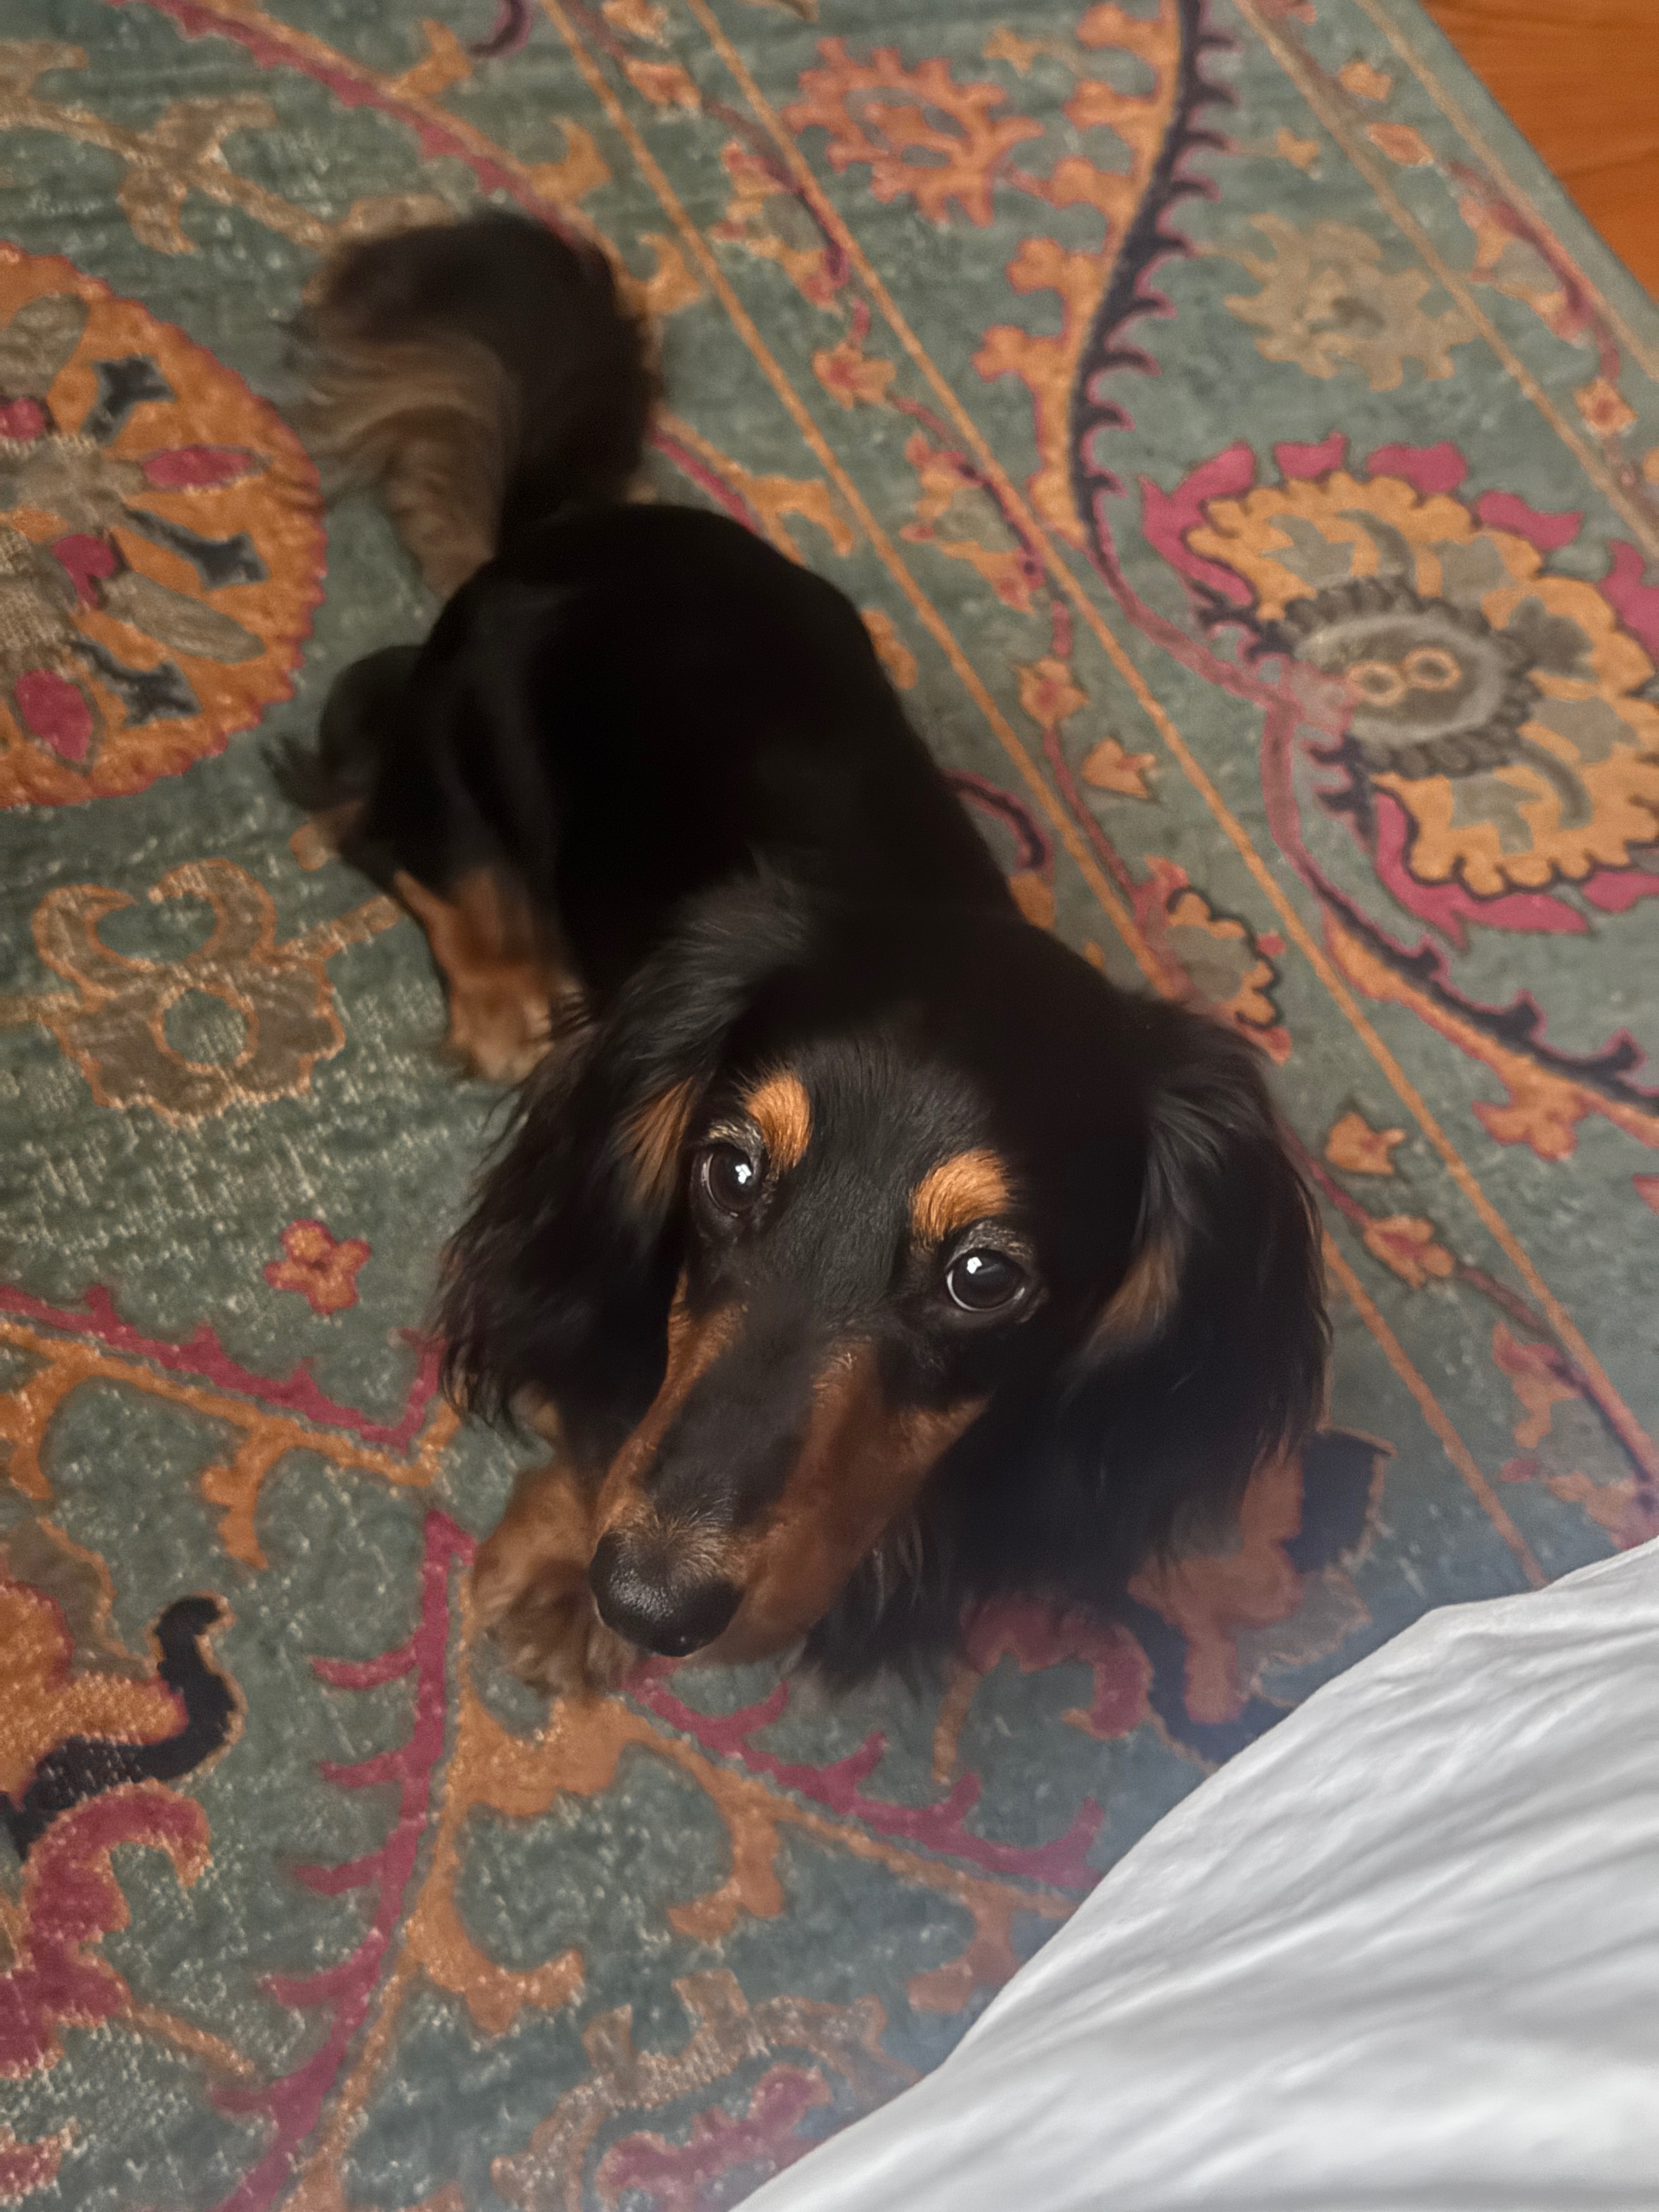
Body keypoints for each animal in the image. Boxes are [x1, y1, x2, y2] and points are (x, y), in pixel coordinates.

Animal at [292, 212, 1328, 1695]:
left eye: (984, 1276)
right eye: (727, 1170)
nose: (651, 1599)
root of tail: (574, 527)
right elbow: (602, 1412)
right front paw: (554, 1575)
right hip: (449, 748)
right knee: (391, 829)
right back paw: (500, 990)